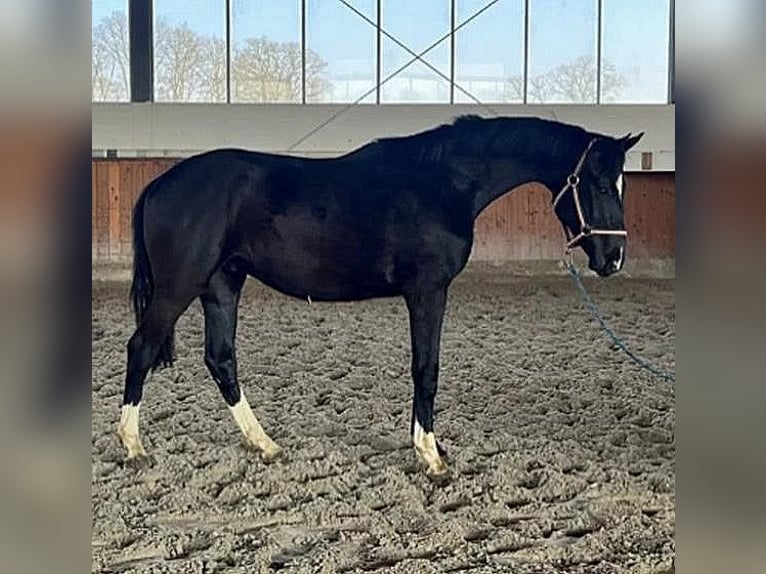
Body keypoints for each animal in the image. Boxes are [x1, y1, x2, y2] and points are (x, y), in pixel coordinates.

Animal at [118, 115, 640, 480]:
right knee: (141, 348)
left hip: (223, 284)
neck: (443, 183)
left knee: (221, 359)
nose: (614, 257)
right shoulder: (427, 290)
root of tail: (160, 184)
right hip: (180, 287)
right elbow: (426, 370)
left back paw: (263, 444)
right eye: (597, 183)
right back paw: (134, 447)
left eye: (620, 184)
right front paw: (431, 457)